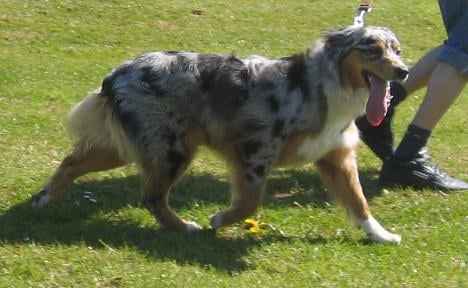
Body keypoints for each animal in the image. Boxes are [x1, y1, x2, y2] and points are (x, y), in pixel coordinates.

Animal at [33, 25, 408, 244]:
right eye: (373, 50)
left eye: (397, 50)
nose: (403, 72)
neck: (325, 88)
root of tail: (119, 72)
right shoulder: (254, 153)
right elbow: (249, 202)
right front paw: (219, 220)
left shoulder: (336, 158)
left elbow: (359, 202)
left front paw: (382, 235)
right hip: (172, 148)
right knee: (152, 195)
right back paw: (184, 227)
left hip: (128, 146)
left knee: (71, 161)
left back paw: (44, 200)